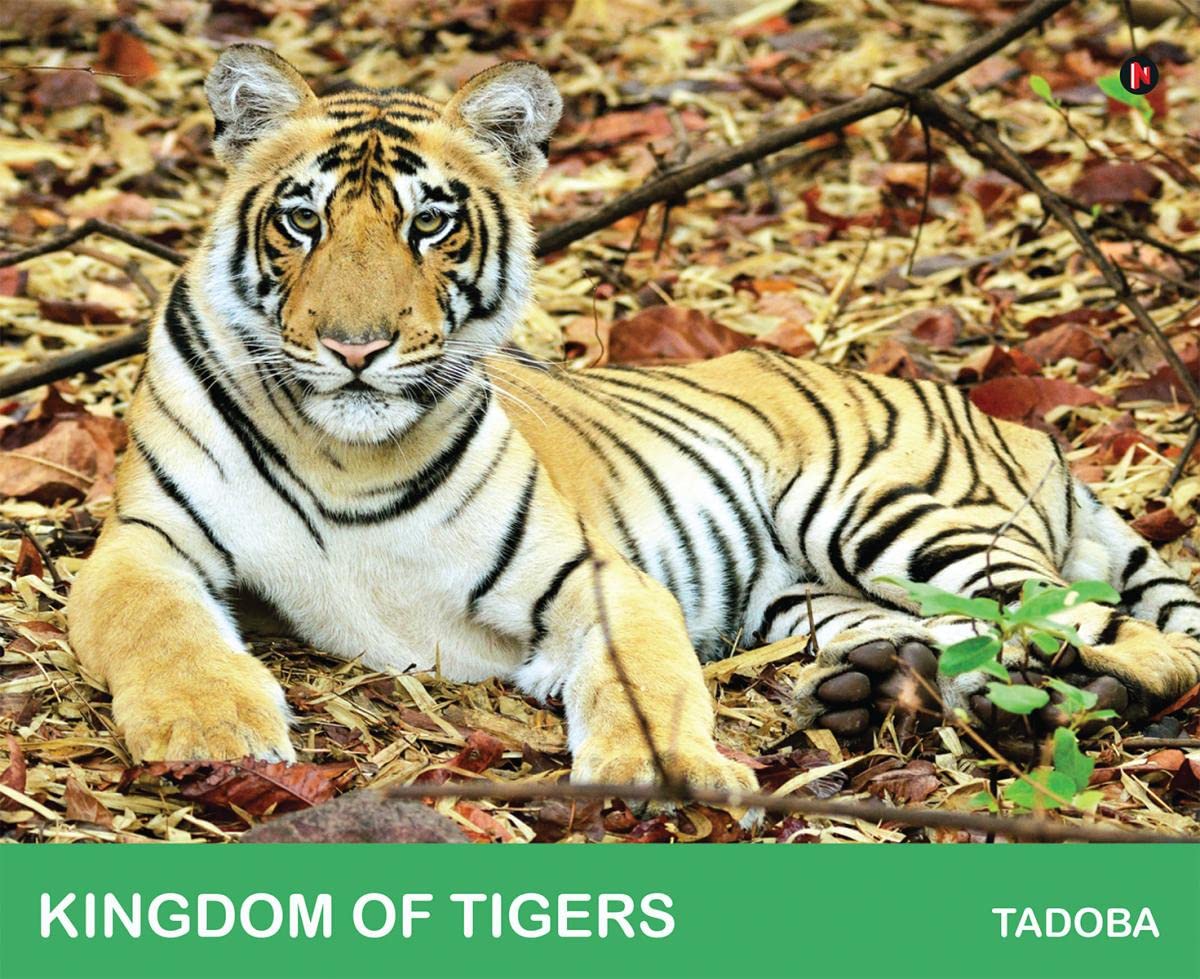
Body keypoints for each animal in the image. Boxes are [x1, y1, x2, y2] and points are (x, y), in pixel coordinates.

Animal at [67, 45, 1200, 804]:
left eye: (430, 223)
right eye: (302, 220)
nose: (354, 347)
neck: (345, 449)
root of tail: (1012, 423)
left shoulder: (594, 575)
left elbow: (639, 675)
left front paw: (665, 770)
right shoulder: (146, 539)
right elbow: (161, 627)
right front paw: (212, 730)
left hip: (887, 509)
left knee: (1126, 635)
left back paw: (1062, 696)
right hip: (805, 598)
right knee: (962, 634)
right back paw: (883, 691)